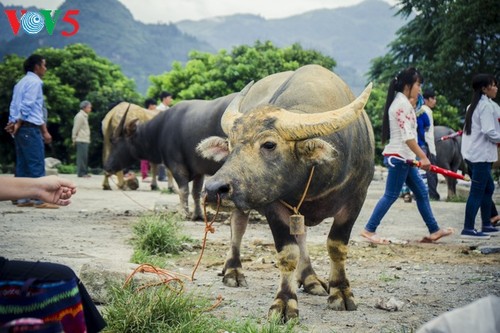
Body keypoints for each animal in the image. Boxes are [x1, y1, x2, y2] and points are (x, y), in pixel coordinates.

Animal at [102, 94, 237, 218]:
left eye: (115, 141)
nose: (108, 167)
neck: (159, 131)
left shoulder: (176, 164)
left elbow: (183, 189)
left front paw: (183, 213)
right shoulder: (199, 170)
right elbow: (196, 192)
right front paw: (197, 215)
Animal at [197, 63, 374, 320]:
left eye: (269, 144)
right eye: (230, 144)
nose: (212, 189)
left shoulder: (356, 199)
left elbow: (336, 246)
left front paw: (340, 292)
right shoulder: (273, 204)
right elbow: (288, 253)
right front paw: (285, 302)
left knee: (302, 236)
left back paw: (310, 279)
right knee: (237, 229)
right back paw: (233, 272)